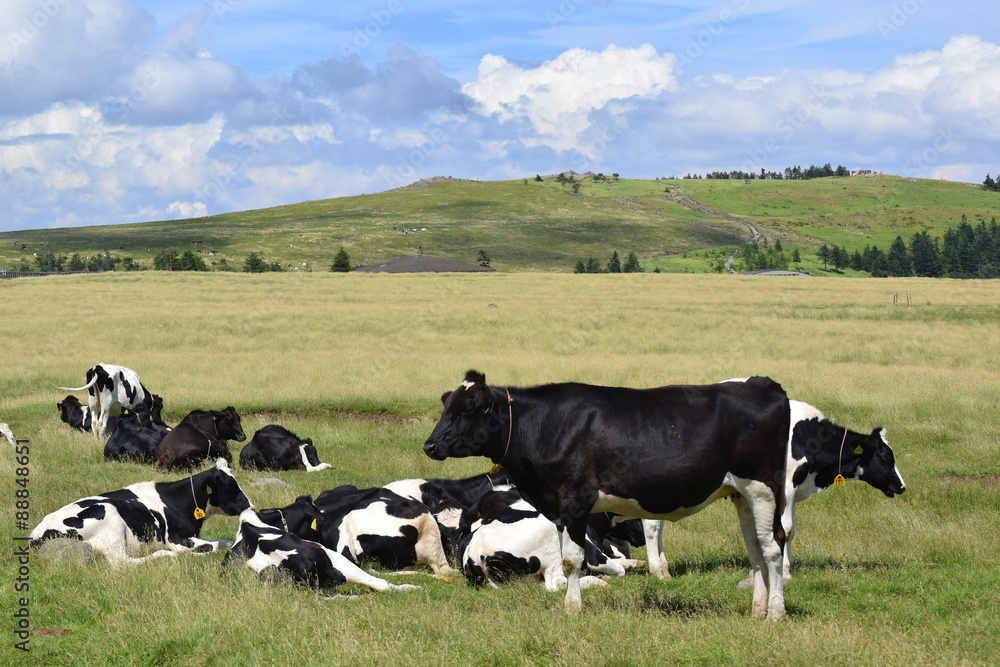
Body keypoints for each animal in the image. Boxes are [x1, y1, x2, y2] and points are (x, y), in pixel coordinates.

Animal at [30, 460, 254, 564]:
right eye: (228, 485)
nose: (251, 505)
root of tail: (37, 531)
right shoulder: (176, 539)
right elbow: (212, 546)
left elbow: (222, 542)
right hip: (112, 524)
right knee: (122, 564)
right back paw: (164, 555)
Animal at [422, 370, 788, 616]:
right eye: (446, 407)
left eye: (468, 409)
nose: (430, 446)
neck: (547, 427)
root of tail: (760, 382)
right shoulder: (557, 508)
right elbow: (569, 557)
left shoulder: (575, 501)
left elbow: (572, 559)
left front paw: (572, 609)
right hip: (742, 494)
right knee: (755, 549)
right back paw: (757, 609)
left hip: (765, 489)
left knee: (773, 546)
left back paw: (776, 612)